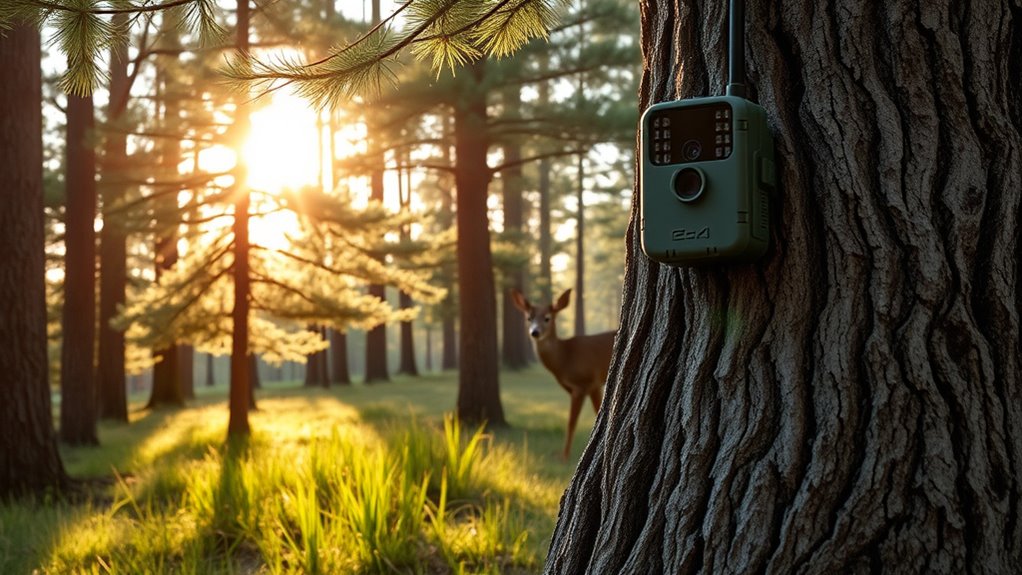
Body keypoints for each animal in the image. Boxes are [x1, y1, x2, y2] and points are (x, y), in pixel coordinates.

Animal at [510, 288, 616, 460]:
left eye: (547, 318)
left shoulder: (583, 382)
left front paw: (564, 456)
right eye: (529, 318)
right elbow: (596, 413)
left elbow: (571, 422)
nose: (534, 332)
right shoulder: (592, 386)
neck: (564, 358)